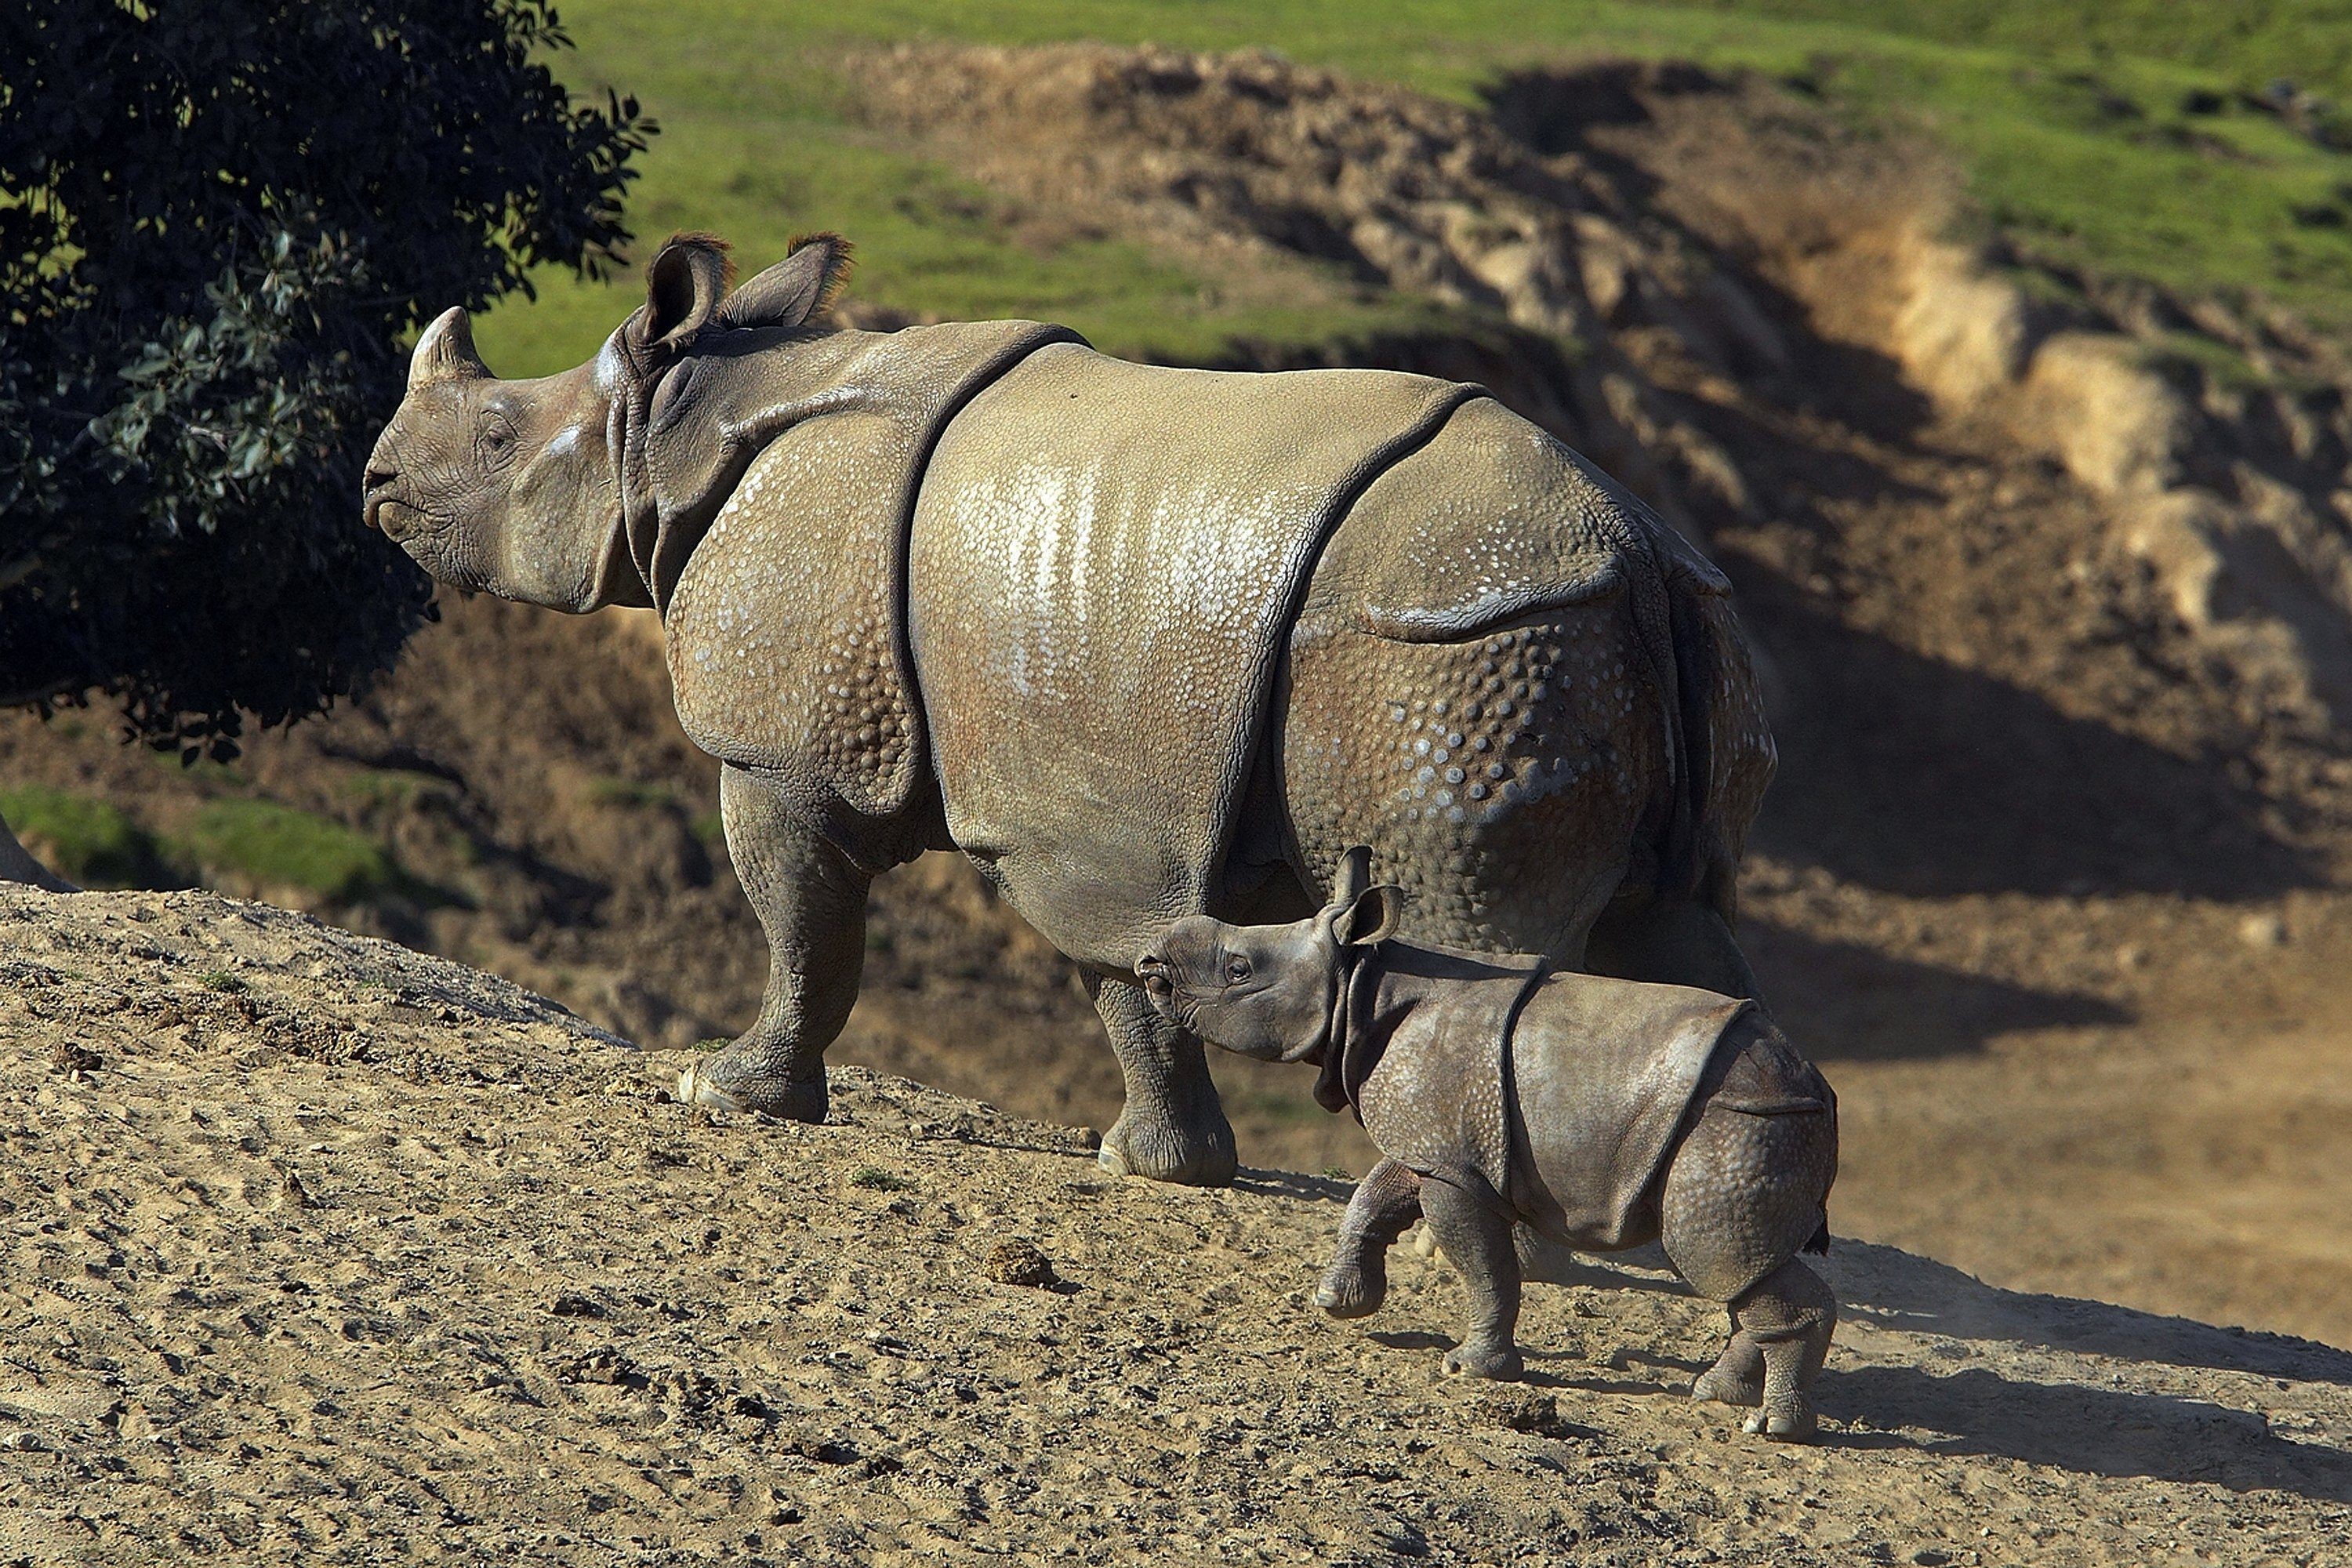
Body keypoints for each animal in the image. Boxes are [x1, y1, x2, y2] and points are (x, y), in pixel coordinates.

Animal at [361, 231, 1775, 1186]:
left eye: (496, 436)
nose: (374, 482)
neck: (678, 426)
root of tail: (1637, 549)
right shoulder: (1090, 798)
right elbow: (1130, 970)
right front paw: (1157, 1166)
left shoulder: (791, 748)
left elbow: (801, 921)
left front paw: (723, 1090)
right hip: (1627, 631)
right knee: (1680, 930)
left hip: (1460, 645)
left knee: (1469, 927)